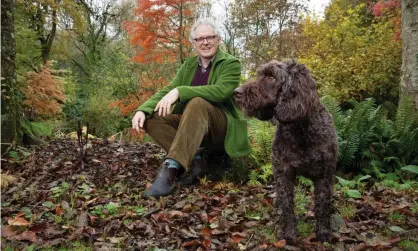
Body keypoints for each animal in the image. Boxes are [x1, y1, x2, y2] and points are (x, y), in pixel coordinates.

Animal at [233, 60, 338, 243]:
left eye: (271, 77)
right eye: (260, 74)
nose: (236, 92)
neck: (300, 129)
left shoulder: (324, 175)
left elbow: (323, 206)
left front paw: (324, 232)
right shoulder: (283, 174)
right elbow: (288, 206)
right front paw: (289, 233)